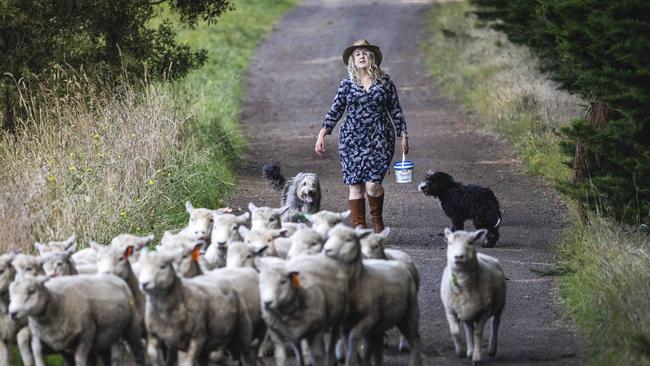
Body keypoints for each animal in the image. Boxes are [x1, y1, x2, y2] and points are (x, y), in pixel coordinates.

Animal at [9, 274, 143, 366]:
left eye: (31, 291)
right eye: (10, 293)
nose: (12, 313)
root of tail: (116, 278)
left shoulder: (87, 334)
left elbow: (79, 359)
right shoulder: (49, 341)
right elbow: (38, 355)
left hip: (131, 327)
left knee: (138, 351)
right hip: (103, 339)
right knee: (105, 357)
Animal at [440, 229, 506, 364]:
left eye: (470, 242)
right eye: (450, 242)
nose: (458, 256)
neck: (463, 284)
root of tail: (483, 255)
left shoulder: (484, 312)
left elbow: (478, 333)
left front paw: (476, 357)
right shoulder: (450, 310)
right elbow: (455, 331)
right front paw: (461, 351)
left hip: (499, 305)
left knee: (495, 324)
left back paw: (492, 349)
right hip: (467, 310)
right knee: (468, 328)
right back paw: (470, 350)